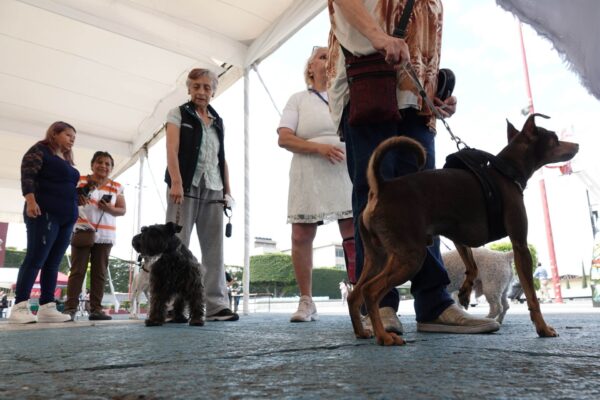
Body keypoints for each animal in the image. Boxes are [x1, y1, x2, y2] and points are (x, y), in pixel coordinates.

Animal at [350, 114, 580, 346]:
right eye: (555, 139)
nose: (577, 145)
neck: (506, 171)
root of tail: (382, 187)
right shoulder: (520, 245)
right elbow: (532, 296)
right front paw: (543, 328)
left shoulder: (460, 236)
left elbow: (472, 266)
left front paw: (464, 293)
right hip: (410, 257)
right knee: (370, 291)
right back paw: (384, 336)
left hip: (377, 257)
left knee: (355, 294)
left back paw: (362, 332)